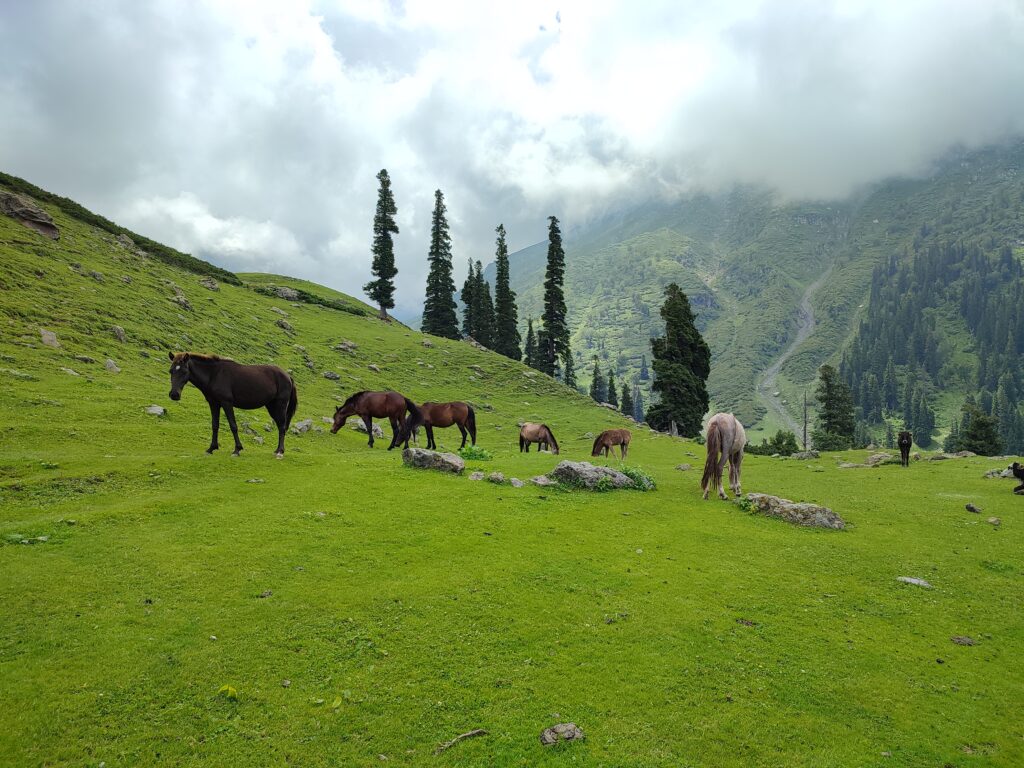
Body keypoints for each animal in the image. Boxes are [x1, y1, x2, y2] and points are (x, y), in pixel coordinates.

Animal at [166, 354, 296, 460]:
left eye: (184, 371)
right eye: (171, 371)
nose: (174, 395)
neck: (214, 375)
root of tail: (287, 376)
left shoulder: (226, 403)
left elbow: (233, 425)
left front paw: (237, 450)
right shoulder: (214, 403)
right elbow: (215, 425)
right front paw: (211, 448)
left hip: (280, 405)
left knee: (282, 426)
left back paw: (280, 452)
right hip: (271, 406)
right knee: (280, 426)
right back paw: (277, 450)